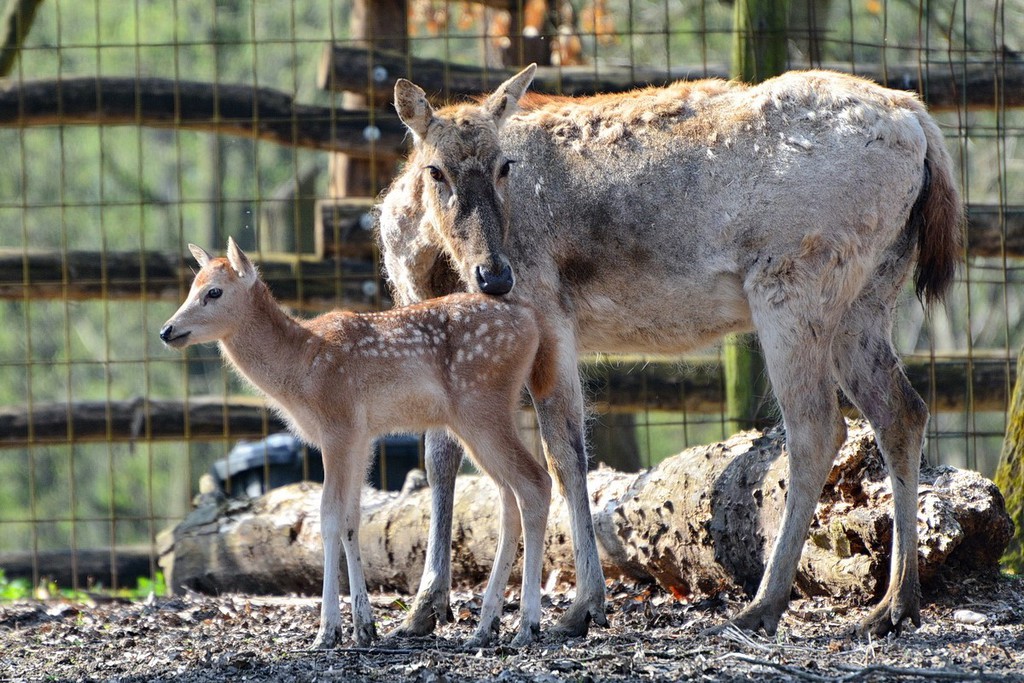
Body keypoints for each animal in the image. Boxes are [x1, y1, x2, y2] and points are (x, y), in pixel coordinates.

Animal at [162, 241, 557, 651]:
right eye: (192, 286)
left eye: (214, 292)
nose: (167, 330)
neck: (299, 366)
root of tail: (532, 323)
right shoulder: (361, 437)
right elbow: (353, 519)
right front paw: (364, 627)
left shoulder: (338, 427)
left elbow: (329, 517)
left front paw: (327, 631)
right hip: (483, 414)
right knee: (509, 497)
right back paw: (485, 626)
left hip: (479, 407)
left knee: (535, 482)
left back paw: (527, 625)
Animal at [376, 66, 958, 638]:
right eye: (436, 171)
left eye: (504, 167)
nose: (495, 275)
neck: (426, 261)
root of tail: (920, 124)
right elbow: (441, 454)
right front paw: (425, 607)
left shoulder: (546, 306)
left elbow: (563, 452)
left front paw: (583, 606)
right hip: (868, 297)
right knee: (901, 410)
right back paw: (894, 605)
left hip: (794, 281)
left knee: (817, 426)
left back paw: (764, 604)